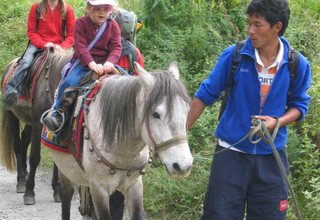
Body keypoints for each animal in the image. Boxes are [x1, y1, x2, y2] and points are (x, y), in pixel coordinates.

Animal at [0, 47, 71, 205]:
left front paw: (57, 190)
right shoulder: (39, 125)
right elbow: (34, 157)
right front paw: (29, 192)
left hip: (28, 122)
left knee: (23, 142)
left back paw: (24, 175)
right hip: (12, 116)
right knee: (17, 145)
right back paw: (21, 181)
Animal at [46, 61, 194, 218]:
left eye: (187, 111)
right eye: (156, 114)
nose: (183, 165)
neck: (123, 151)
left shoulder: (134, 185)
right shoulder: (99, 188)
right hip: (65, 170)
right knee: (66, 196)